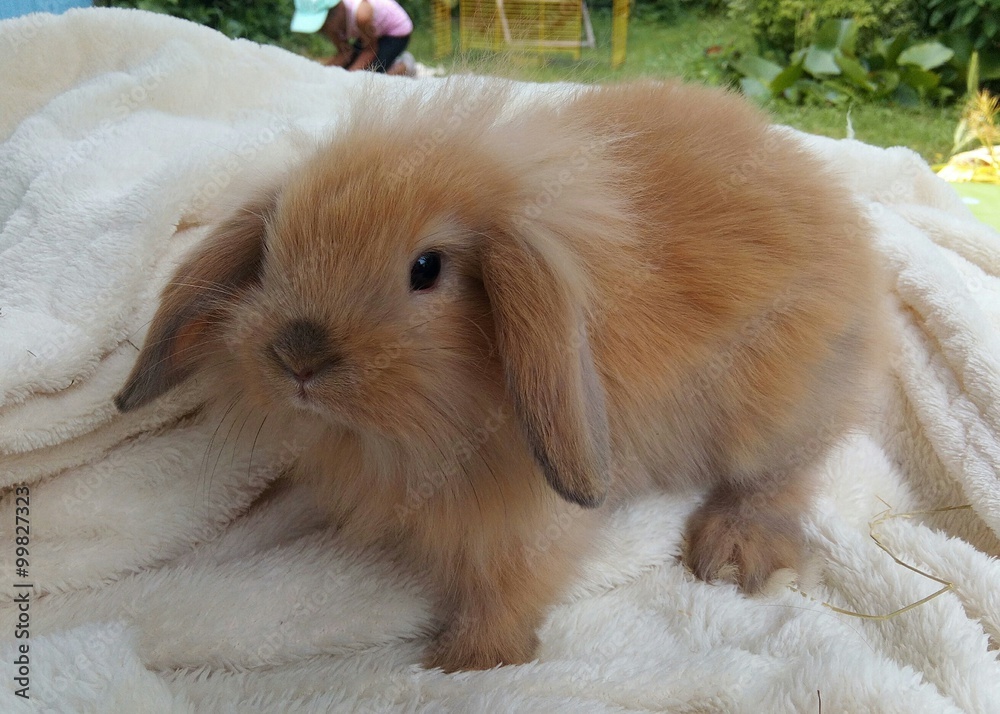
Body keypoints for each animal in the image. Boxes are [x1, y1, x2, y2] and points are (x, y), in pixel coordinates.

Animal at [113, 80, 888, 672]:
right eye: (272, 249)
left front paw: (466, 663)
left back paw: (735, 555)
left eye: (427, 268)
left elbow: (507, 585)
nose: (298, 357)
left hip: (776, 405)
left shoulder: (532, 519)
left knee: (780, 473)